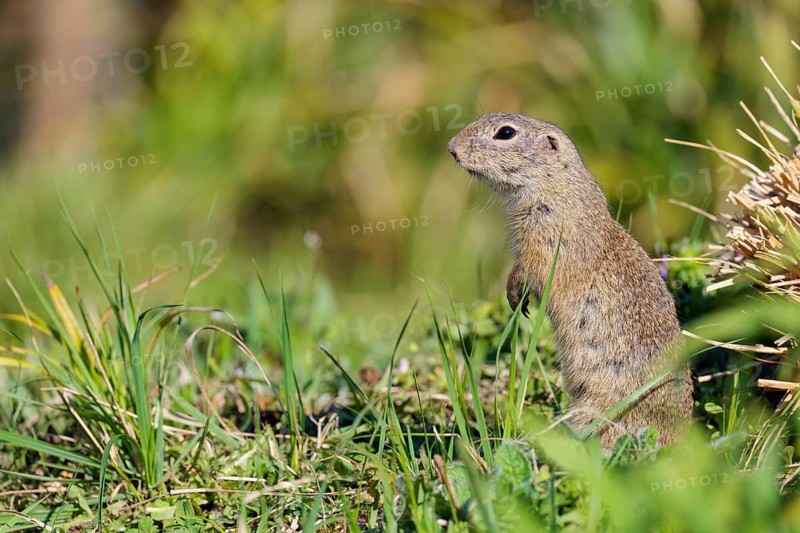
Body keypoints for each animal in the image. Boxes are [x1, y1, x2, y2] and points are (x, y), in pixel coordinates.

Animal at [447, 112, 692, 448]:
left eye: (506, 133)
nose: (451, 148)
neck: (554, 184)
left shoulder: (547, 238)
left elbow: (533, 269)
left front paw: (516, 294)